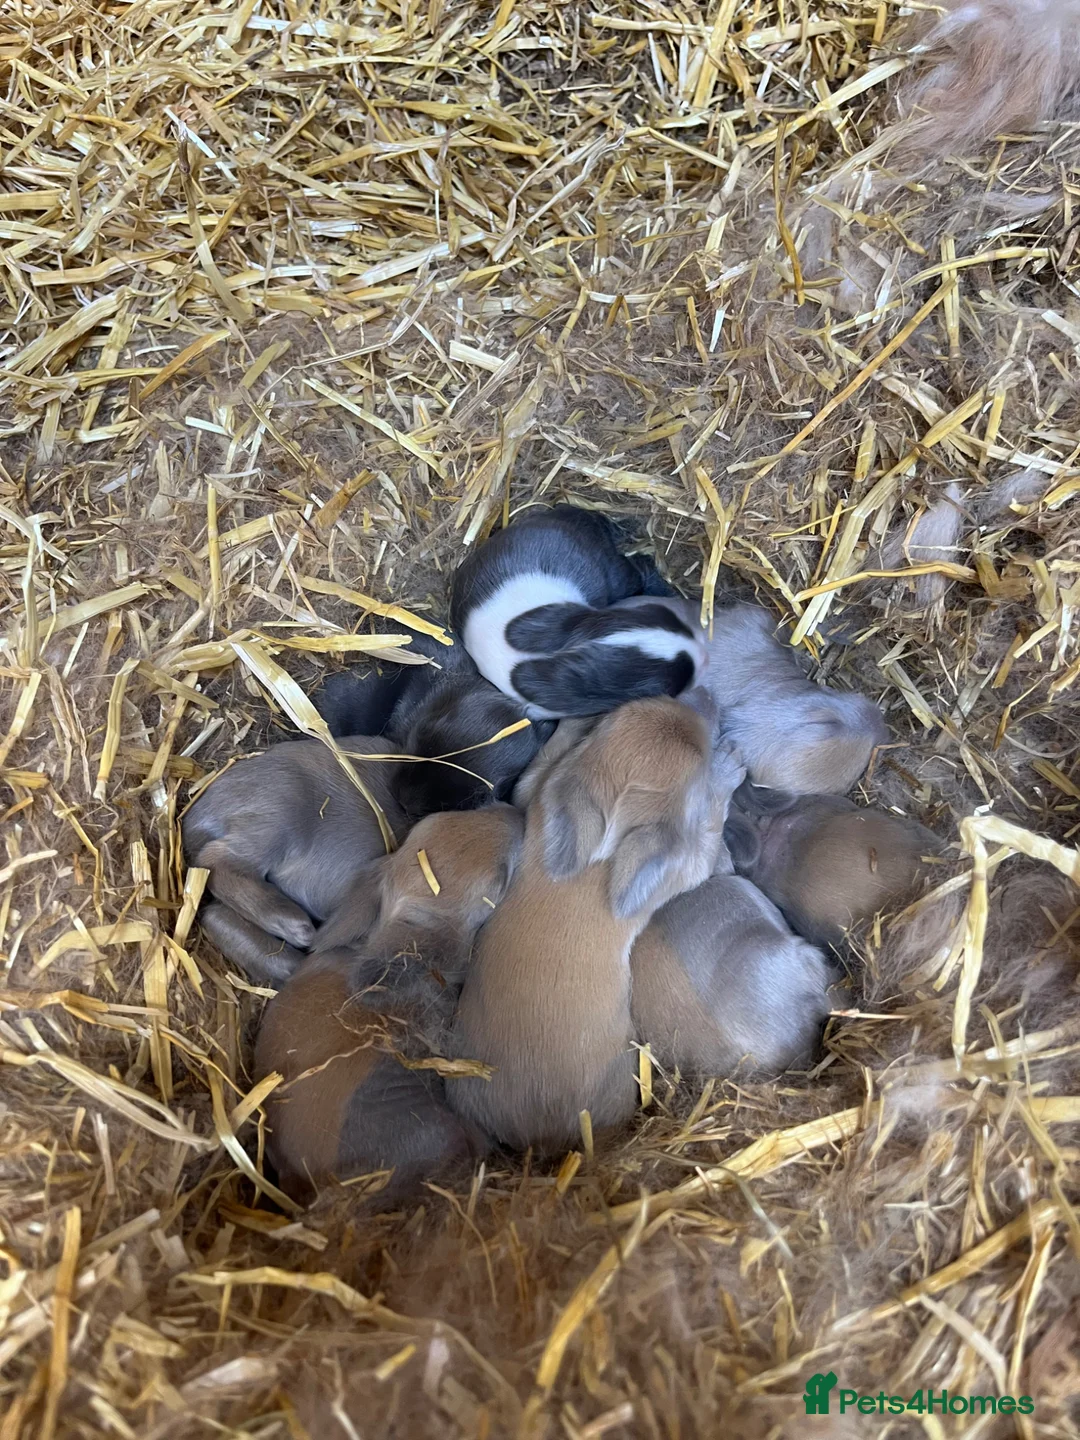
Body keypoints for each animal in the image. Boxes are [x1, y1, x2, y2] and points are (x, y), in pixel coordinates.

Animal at [448, 693, 746, 1153]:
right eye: (699, 767)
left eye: (608, 722)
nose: (704, 696)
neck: (604, 844)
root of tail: (538, 1140)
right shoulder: (687, 863)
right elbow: (709, 831)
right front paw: (729, 766)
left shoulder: (538, 791)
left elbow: (543, 765)